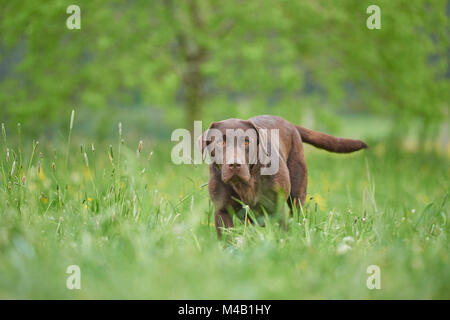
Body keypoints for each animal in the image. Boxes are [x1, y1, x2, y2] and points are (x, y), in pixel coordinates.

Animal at [199, 115, 368, 235]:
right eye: (220, 142)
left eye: (247, 142)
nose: (235, 164)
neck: (246, 183)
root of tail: (289, 123)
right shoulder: (222, 210)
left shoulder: (277, 206)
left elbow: (282, 231)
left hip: (297, 193)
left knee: (297, 215)